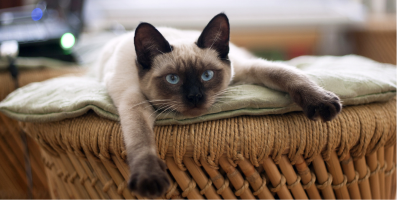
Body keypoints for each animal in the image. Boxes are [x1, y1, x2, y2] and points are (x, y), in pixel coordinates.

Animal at [96, 13, 340, 198]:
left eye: (207, 75)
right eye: (173, 79)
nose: (195, 97)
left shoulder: (247, 69)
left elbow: (286, 74)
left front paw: (322, 102)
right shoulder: (134, 102)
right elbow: (141, 138)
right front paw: (149, 179)